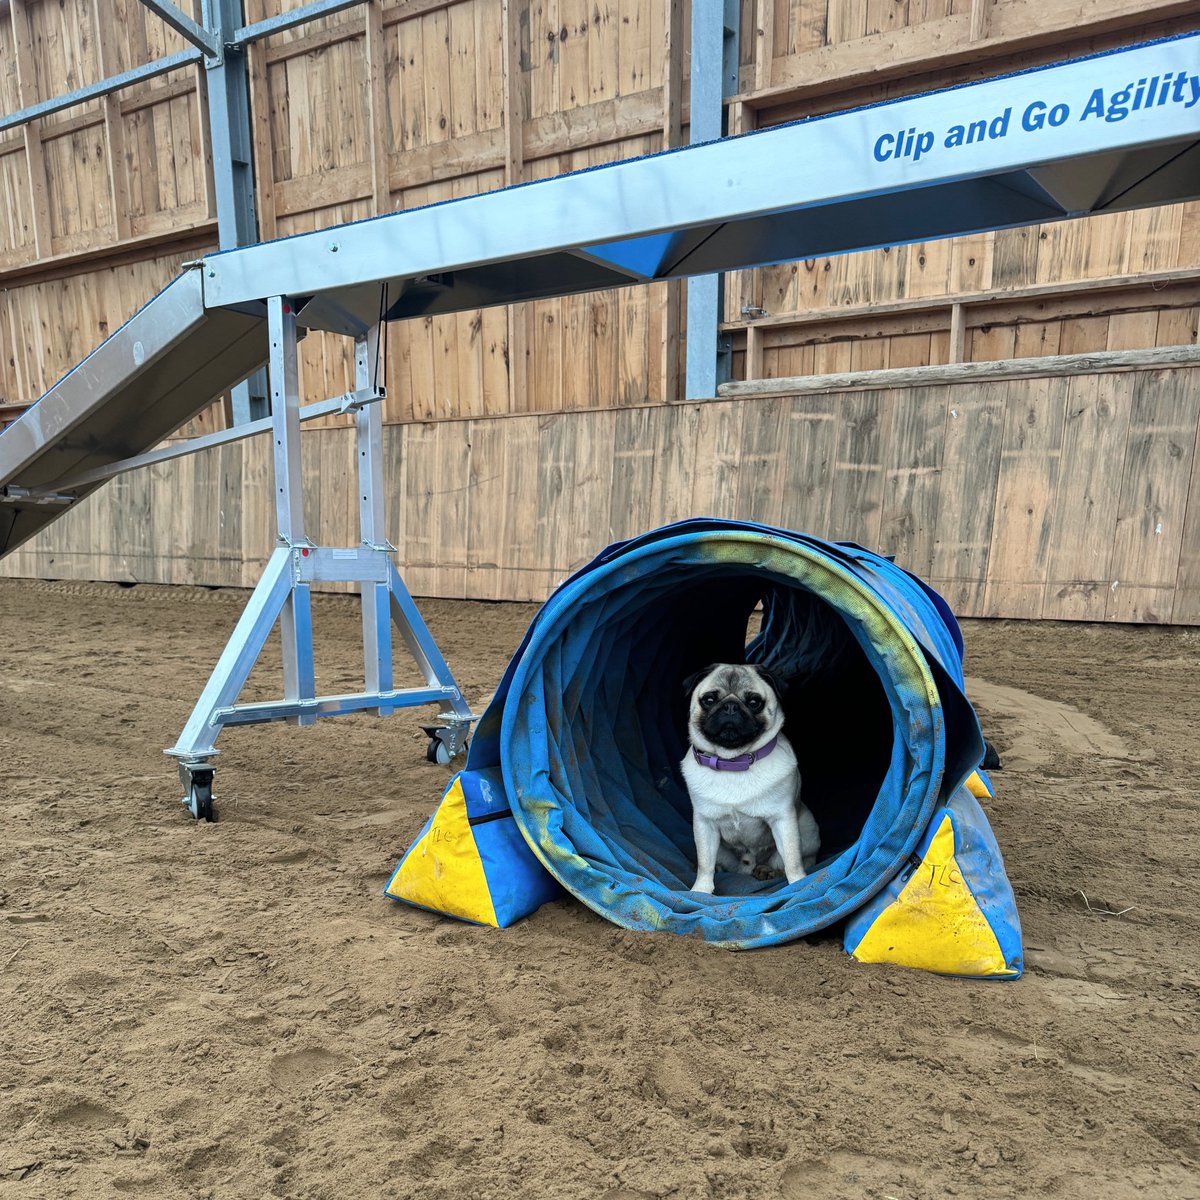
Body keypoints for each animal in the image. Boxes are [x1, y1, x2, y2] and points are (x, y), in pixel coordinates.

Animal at [681, 667, 820, 892]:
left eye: (754, 702)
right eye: (709, 700)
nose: (730, 706)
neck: (733, 762)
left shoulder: (783, 820)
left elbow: (792, 859)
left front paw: (799, 884)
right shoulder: (704, 824)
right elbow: (705, 863)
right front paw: (701, 890)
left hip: (808, 828)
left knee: (796, 859)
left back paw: (768, 870)